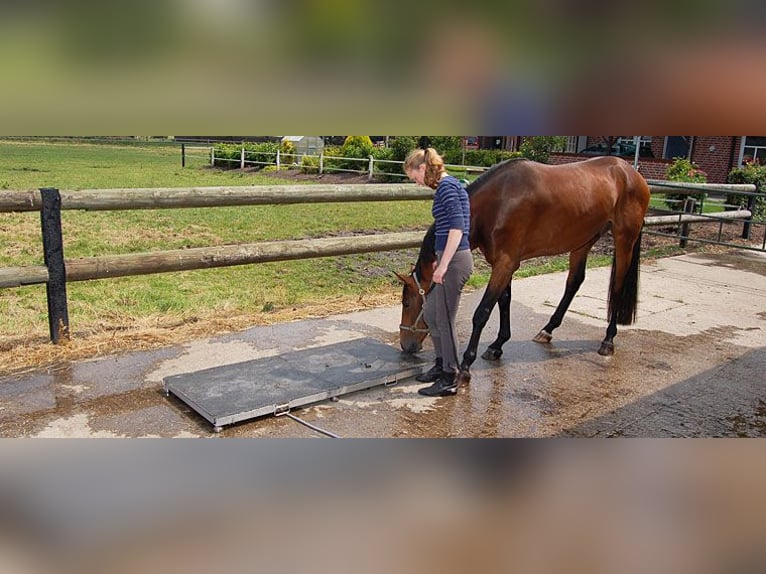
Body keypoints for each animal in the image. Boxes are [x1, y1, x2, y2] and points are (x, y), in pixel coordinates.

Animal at [396, 156, 651, 380]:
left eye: (407, 303)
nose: (406, 345)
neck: (498, 202)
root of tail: (631, 173)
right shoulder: (503, 263)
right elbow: (504, 301)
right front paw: (497, 345)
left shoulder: (505, 262)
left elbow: (483, 312)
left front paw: (467, 364)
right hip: (583, 241)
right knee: (574, 282)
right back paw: (548, 330)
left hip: (624, 239)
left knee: (617, 287)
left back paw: (608, 340)